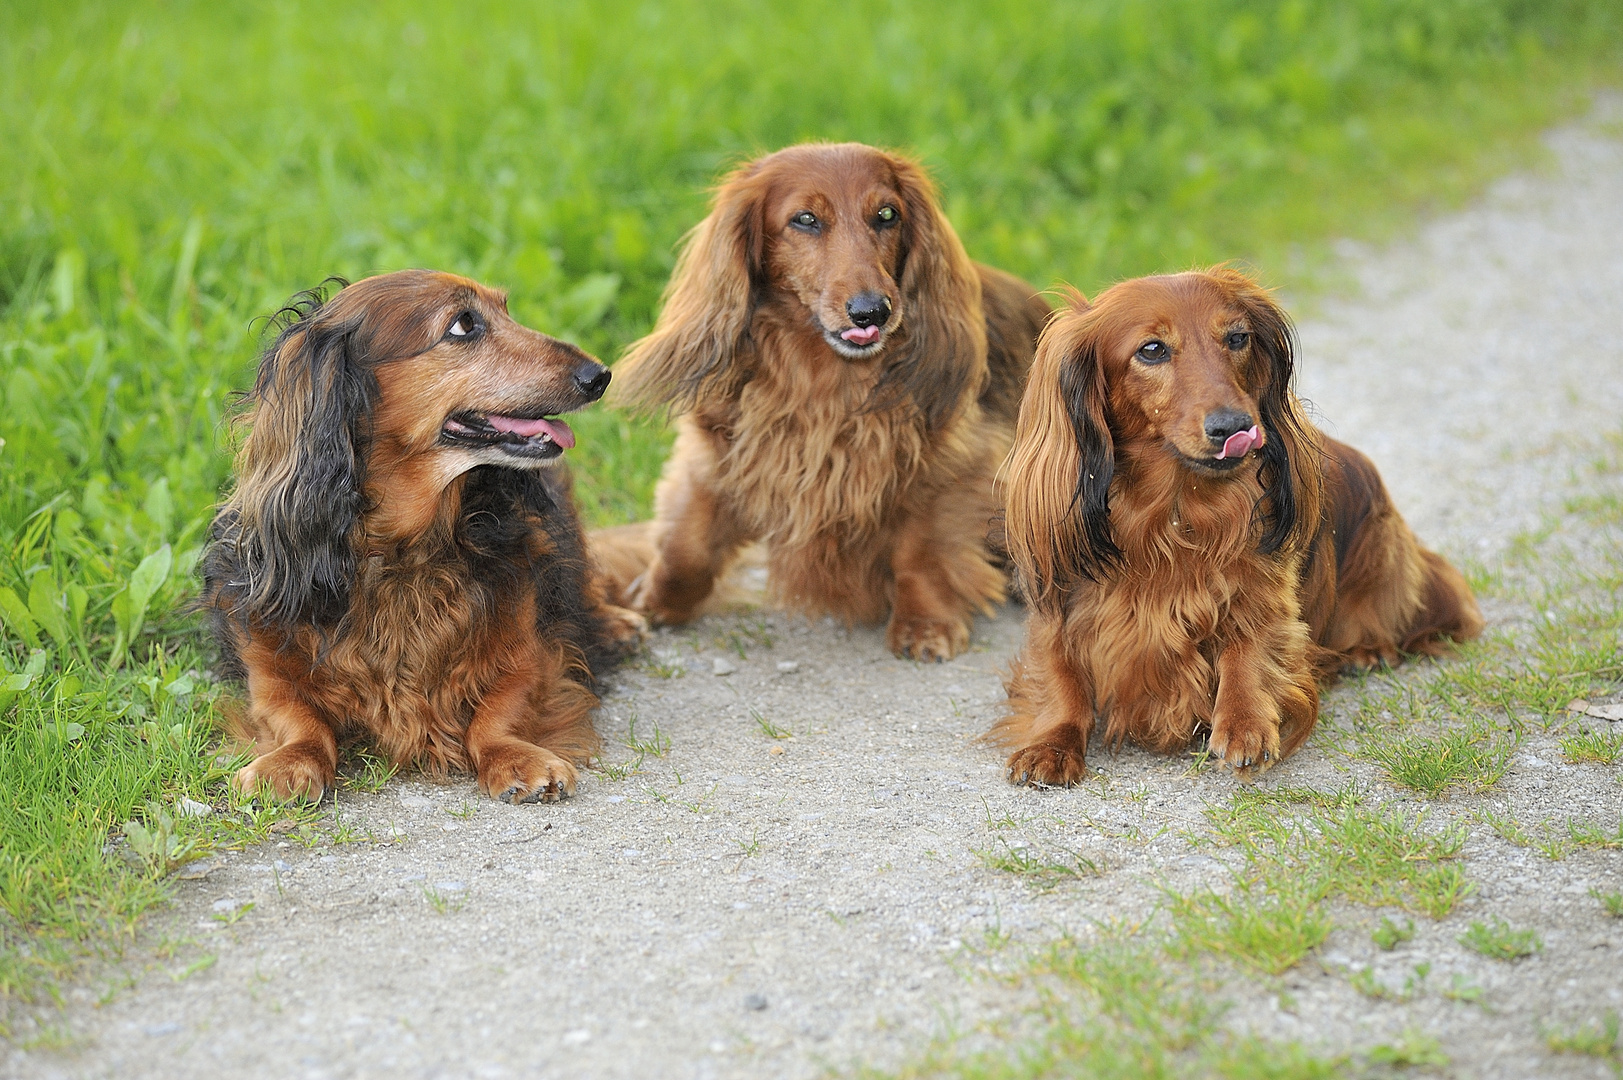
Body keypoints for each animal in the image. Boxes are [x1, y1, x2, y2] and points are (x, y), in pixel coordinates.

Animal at [199, 274, 636, 805]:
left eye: (506, 309)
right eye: (464, 324)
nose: (601, 375)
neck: (403, 552)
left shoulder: (533, 653)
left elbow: (501, 710)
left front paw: (516, 756)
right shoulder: (267, 664)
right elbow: (295, 716)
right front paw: (287, 762)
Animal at [600, 138, 1051, 662]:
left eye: (886, 214)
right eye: (805, 219)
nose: (872, 311)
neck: (822, 379)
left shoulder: (952, 463)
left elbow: (921, 549)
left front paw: (925, 623)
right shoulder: (719, 453)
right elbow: (686, 549)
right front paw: (647, 601)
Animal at [986, 264, 1486, 779]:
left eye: (1237, 337)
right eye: (1152, 349)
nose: (1235, 427)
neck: (1172, 518)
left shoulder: (1268, 592)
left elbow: (1250, 643)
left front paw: (1244, 721)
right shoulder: (1057, 601)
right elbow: (1059, 676)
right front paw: (1051, 744)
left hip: (1382, 550)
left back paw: (1370, 651)